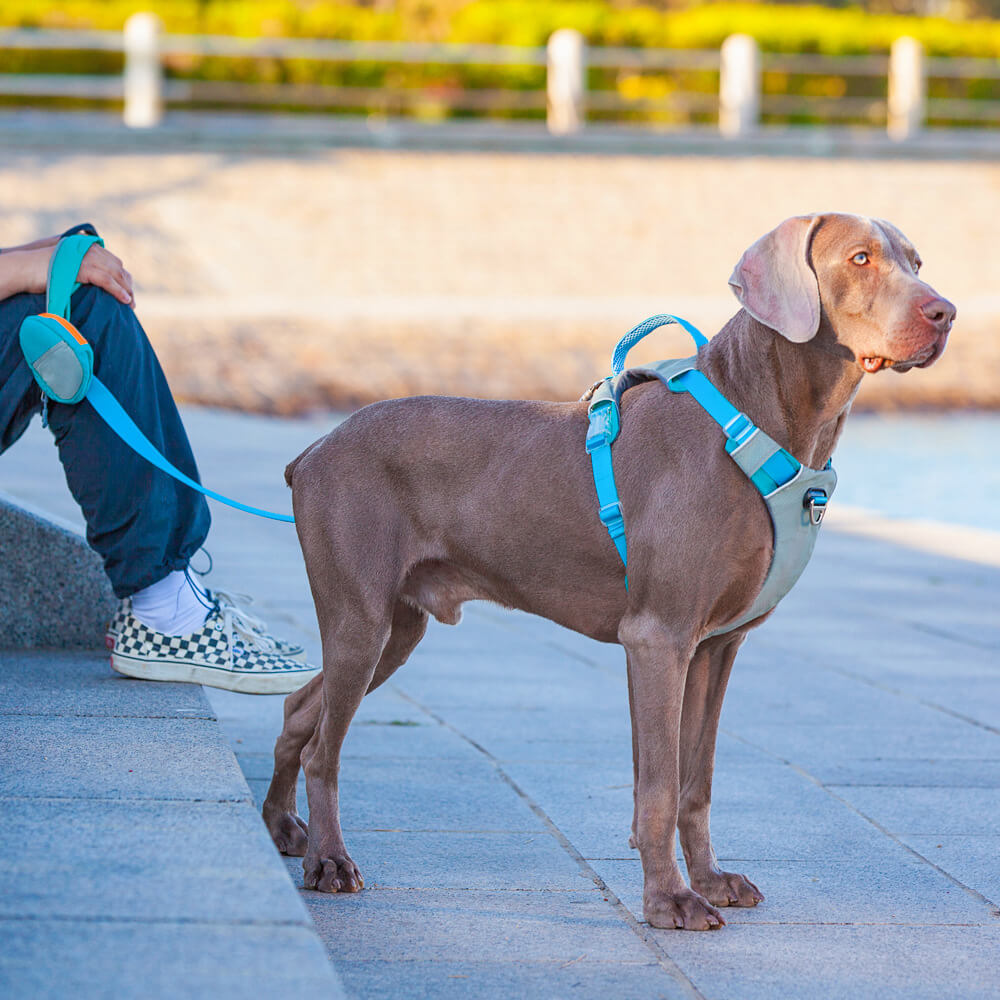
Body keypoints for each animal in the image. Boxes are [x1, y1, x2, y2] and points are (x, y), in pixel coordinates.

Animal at [258, 215, 952, 932]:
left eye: (917, 261)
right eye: (860, 258)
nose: (945, 313)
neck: (757, 422)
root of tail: (314, 448)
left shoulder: (716, 646)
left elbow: (695, 782)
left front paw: (710, 879)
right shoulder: (657, 637)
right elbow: (659, 788)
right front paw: (670, 900)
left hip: (398, 627)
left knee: (298, 708)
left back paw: (283, 827)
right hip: (360, 617)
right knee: (323, 748)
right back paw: (330, 862)